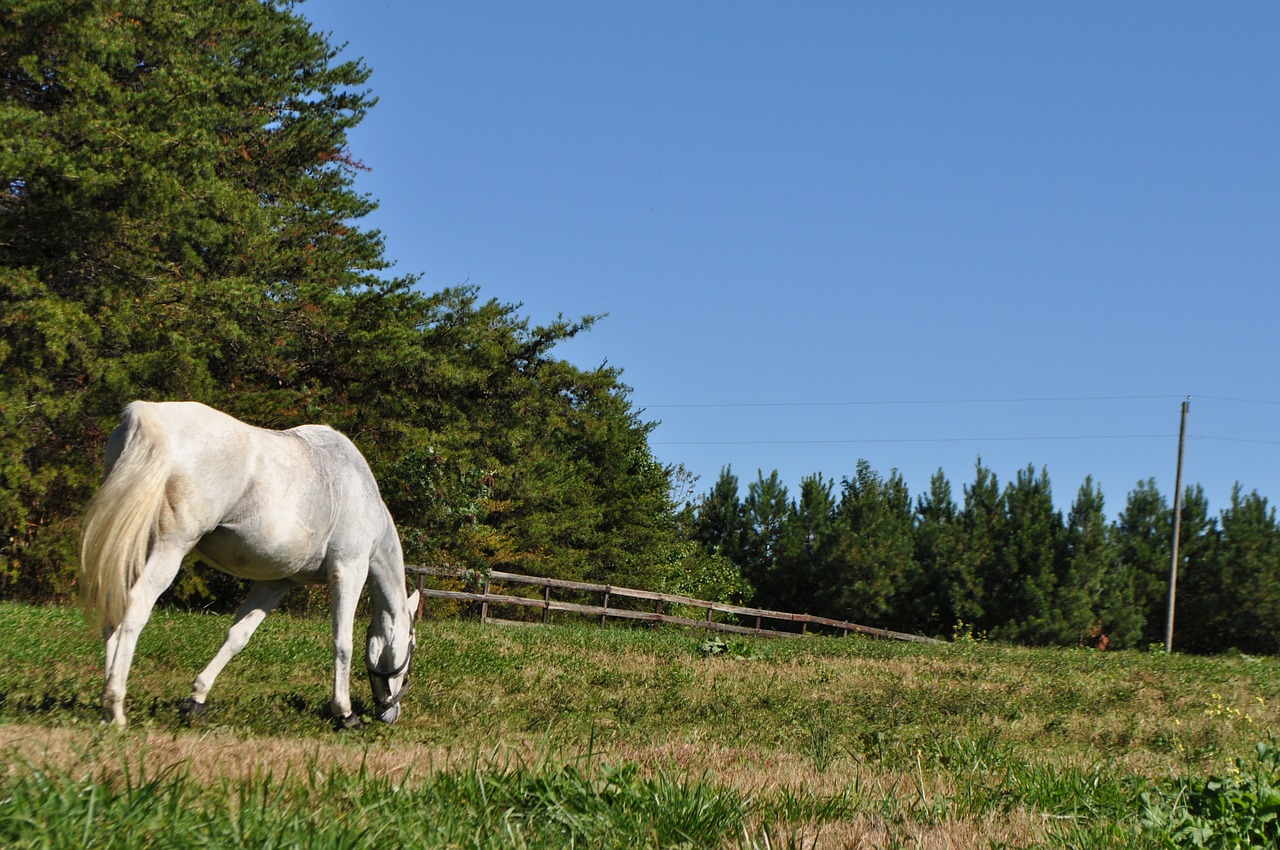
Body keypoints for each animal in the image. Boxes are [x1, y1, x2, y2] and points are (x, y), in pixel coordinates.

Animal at [78, 401, 419, 727]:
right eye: (412, 644)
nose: (391, 712)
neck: (357, 489)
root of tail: (147, 415)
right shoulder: (349, 571)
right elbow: (343, 642)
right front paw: (345, 713)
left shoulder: (276, 583)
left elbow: (237, 636)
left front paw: (196, 700)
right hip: (169, 547)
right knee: (137, 605)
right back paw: (115, 706)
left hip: (133, 546)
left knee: (114, 608)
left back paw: (107, 706)